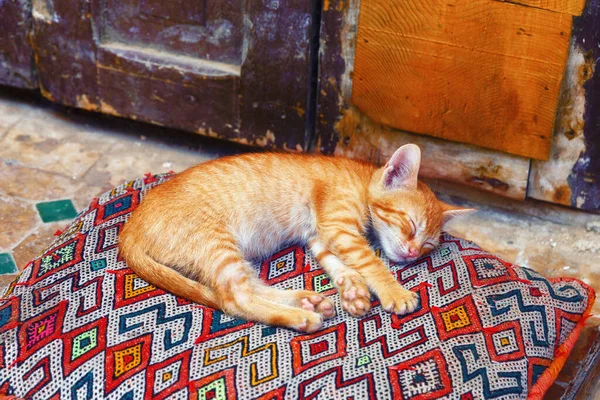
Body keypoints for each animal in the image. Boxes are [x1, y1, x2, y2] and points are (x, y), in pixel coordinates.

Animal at [117, 144, 474, 332]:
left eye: (428, 245)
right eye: (410, 225)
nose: (413, 253)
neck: (360, 182)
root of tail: (129, 231)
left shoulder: (320, 234)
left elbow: (337, 262)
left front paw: (353, 289)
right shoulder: (337, 226)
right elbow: (370, 261)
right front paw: (393, 291)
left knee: (248, 288)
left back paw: (306, 301)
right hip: (216, 244)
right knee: (234, 299)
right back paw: (301, 316)